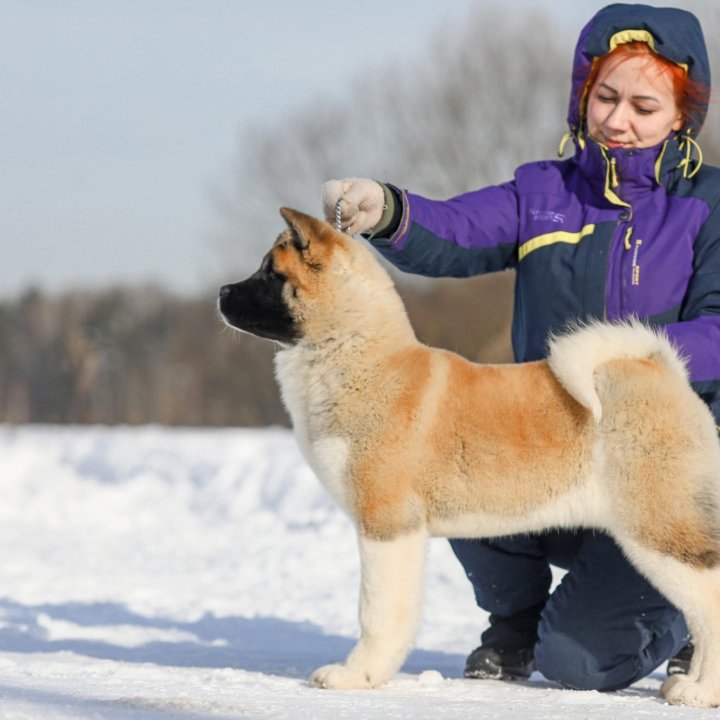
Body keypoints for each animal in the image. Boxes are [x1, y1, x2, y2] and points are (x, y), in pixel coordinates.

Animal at [218, 208, 720, 708]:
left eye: (271, 273)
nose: (221, 292)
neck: (352, 350)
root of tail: (662, 372)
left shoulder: (386, 525)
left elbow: (375, 611)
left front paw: (355, 675)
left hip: (657, 529)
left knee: (708, 604)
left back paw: (699, 691)